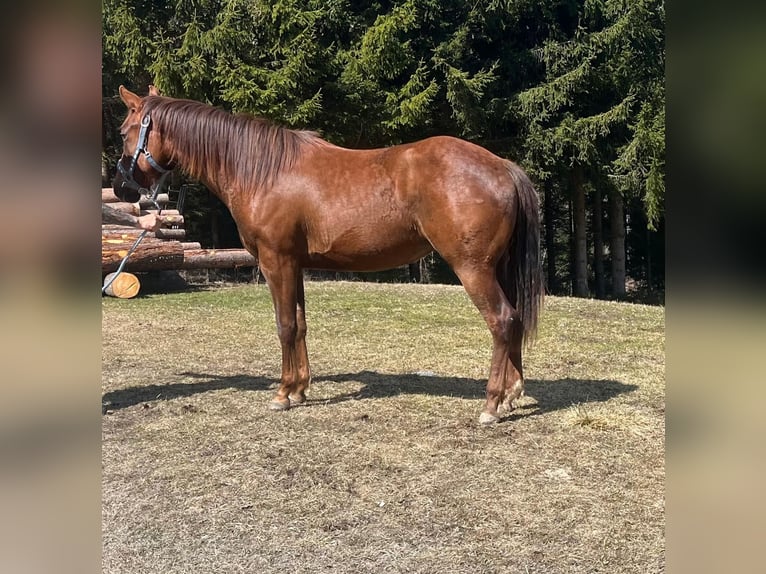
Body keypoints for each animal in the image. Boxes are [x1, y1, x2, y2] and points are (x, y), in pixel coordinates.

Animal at [112, 85, 543, 425]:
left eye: (124, 131)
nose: (121, 188)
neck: (263, 171)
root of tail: (501, 166)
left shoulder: (276, 262)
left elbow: (285, 325)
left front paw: (282, 394)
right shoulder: (295, 265)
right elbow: (301, 325)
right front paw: (300, 389)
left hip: (473, 269)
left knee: (502, 321)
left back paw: (491, 404)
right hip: (497, 268)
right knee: (515, 320)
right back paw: (511, 395)